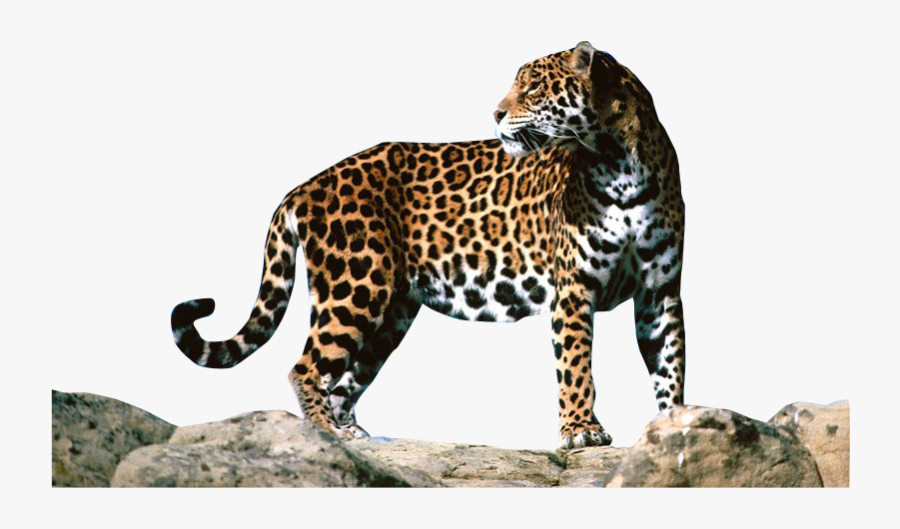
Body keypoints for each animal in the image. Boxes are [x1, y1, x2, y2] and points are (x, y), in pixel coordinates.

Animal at [171, 41, 686, 449]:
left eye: (534, 87)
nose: (496, 113)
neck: (618, 163)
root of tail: (304, 186)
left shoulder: (659, 292)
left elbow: (670, 363)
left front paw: (673, 428)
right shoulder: (574, 288)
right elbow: (576, 364)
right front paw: (582, 431)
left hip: (391, 313)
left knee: (345, 378)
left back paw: (353, 434)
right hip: (355, 285)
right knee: (306, 367)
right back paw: (326, 434)